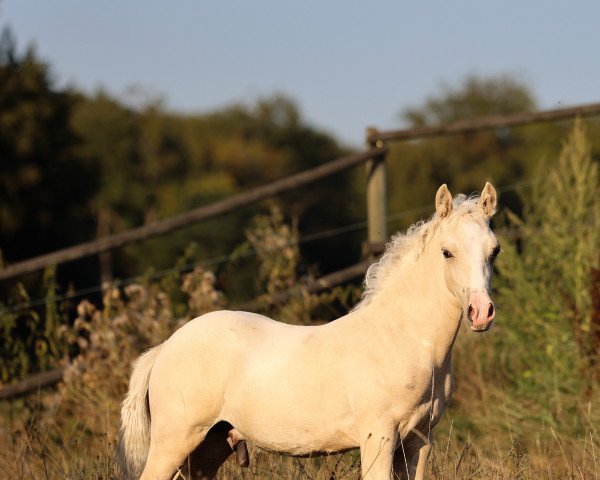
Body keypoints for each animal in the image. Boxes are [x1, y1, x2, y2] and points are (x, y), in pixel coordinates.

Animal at [118, 182, 502, 478]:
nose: (481, 313)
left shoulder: (419, 441)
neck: (404, 340)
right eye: (447, 252)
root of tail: (164, 349)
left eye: (494, 251)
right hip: (173, 441)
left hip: (207, 450)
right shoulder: (378, 437)